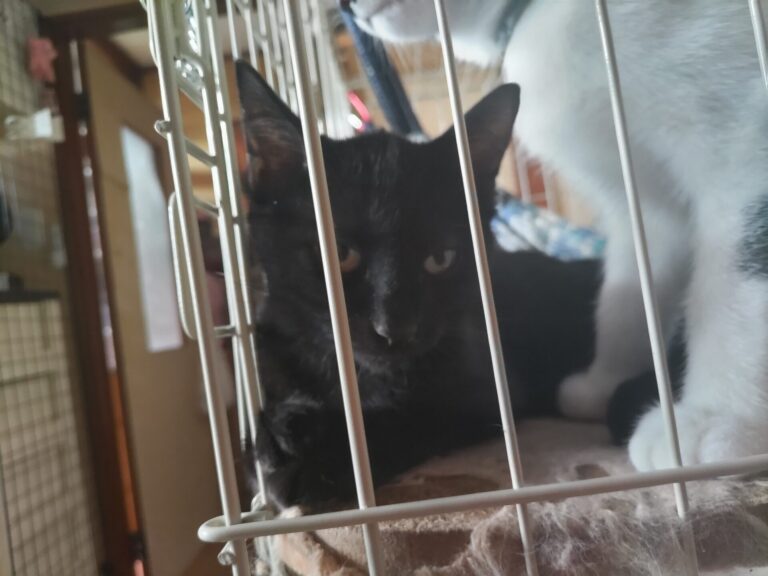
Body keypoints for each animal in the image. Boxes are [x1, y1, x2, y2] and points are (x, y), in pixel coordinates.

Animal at [236, 61, 602, 507]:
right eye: (340, 252)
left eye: (441, 258)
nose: (396, 328)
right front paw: (277, 436)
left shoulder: (487, 390)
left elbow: (415, 414)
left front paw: (319, 455)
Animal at [350, 0, 768, 471]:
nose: (344, 9)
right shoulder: (644, 203)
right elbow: (629, 289)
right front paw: (604, 380)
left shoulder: (743, 139)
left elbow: (732, 285)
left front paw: (716, 417)